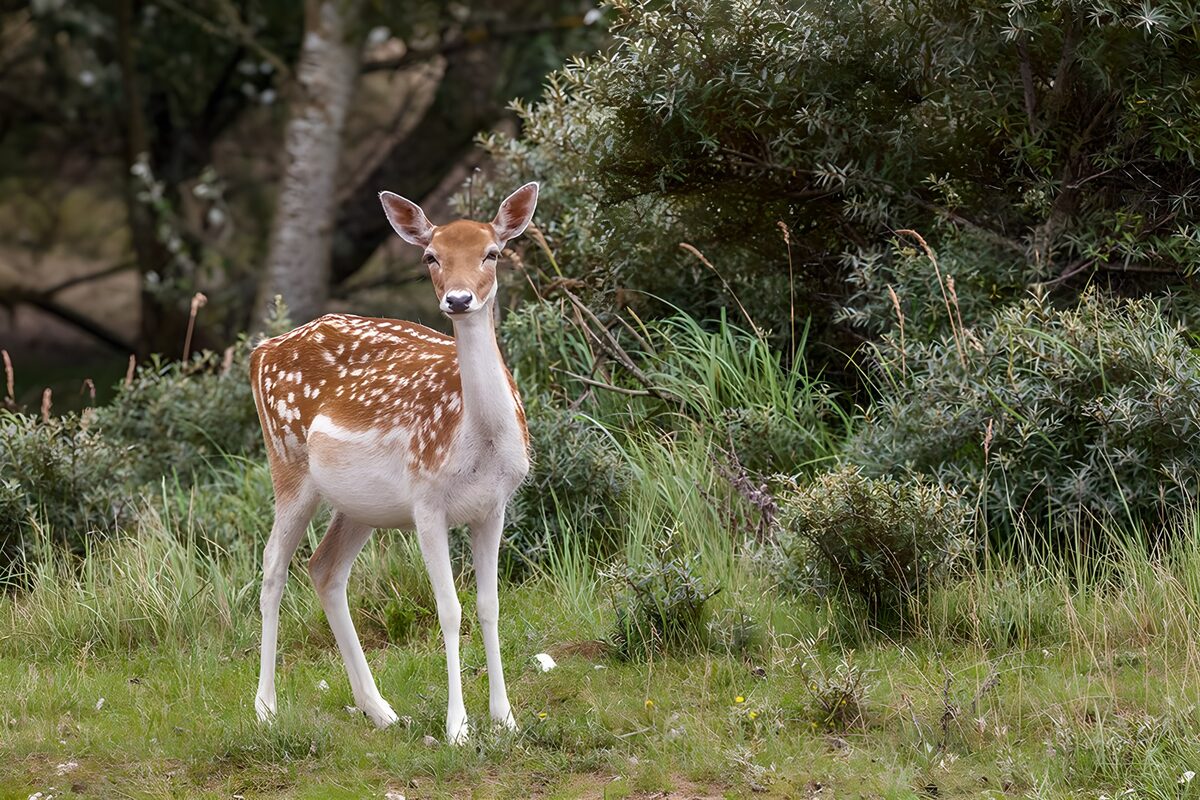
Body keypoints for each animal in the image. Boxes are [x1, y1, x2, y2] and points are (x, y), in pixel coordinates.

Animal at [249, 183, 538, 744]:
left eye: (492, 253)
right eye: (431, 256)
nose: (458, 299)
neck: (478, 441)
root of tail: (260, 352)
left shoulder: (495, 506)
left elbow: (490, 606)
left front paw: (506, 718)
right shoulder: (426, 502)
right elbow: (448, 609)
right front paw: (457, 727)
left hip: (362, 505)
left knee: (324, 568)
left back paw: (380, 709)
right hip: (288, 463)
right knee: (273, 566)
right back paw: (266, 708)